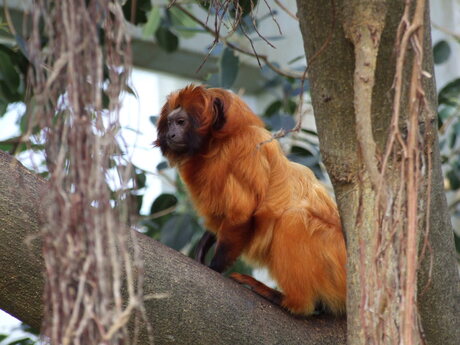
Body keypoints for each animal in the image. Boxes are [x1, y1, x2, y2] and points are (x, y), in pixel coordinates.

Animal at [155, 84, 344, 314]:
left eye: (181, 122)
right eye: (170, 122)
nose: (171, 134)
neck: (218, 144)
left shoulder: (245, 150)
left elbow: (241, 213)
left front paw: (214, 267)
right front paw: (205, 243)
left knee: (292, 220)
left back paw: (290, 301)